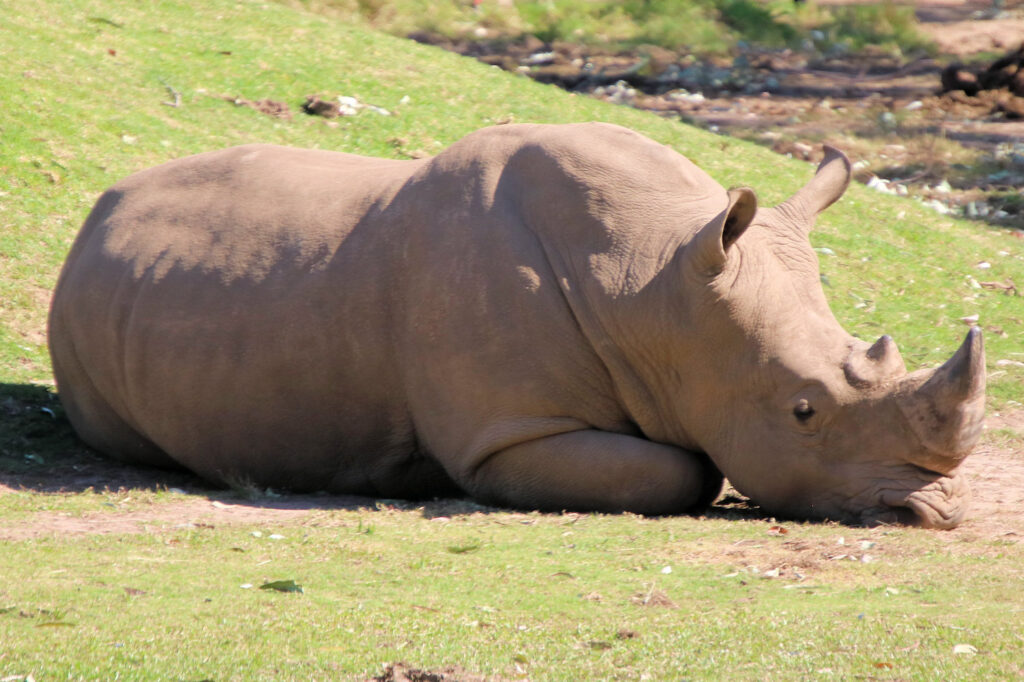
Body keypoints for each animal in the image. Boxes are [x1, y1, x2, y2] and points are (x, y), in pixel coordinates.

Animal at [48, 122, 983, 524]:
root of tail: (96, 215)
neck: (656, 289)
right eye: (803, 411)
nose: (934, 510)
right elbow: (681, 472)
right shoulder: (508, 434)